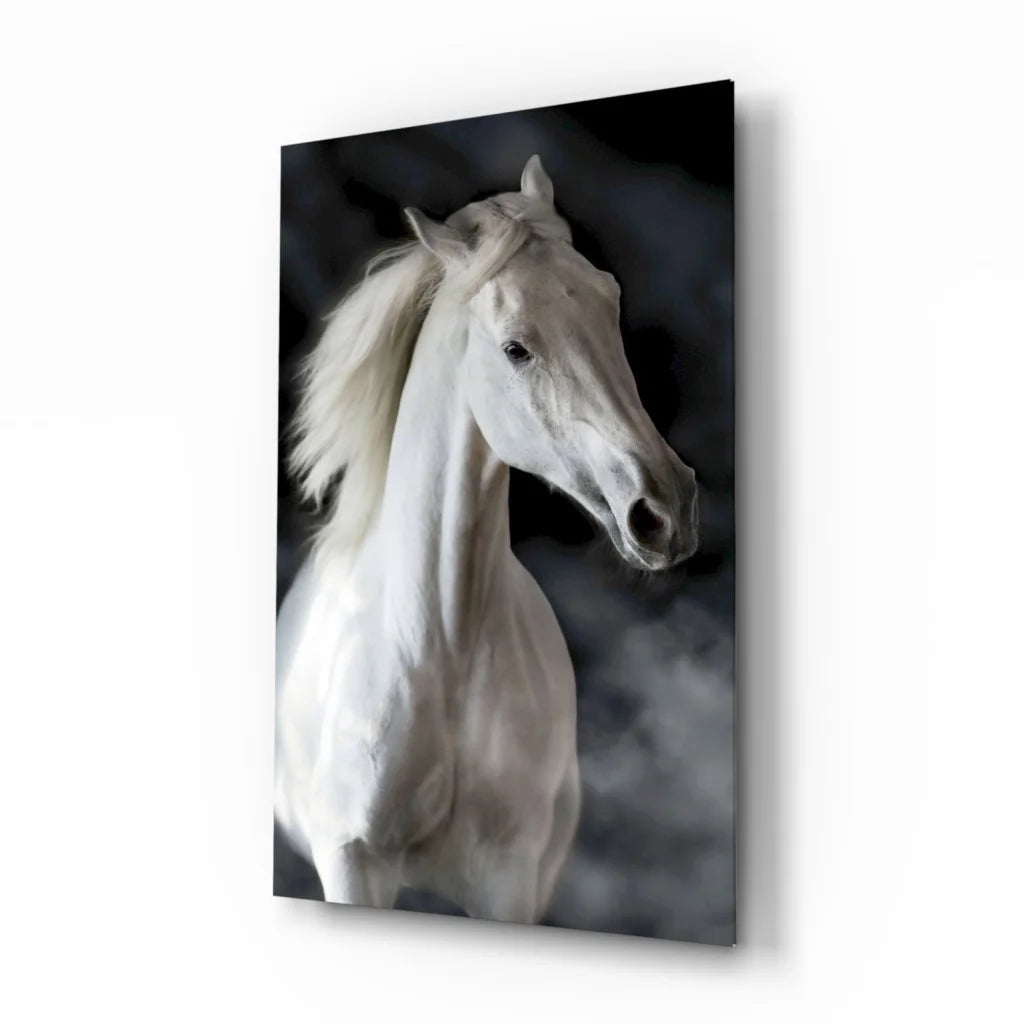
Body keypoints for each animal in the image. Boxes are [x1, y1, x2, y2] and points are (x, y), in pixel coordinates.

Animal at [275, 155, 699, 923]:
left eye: (609, 302)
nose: (667, 507)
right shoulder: (352, 866)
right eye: (515, 348)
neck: (434, 657)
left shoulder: (510, 879)